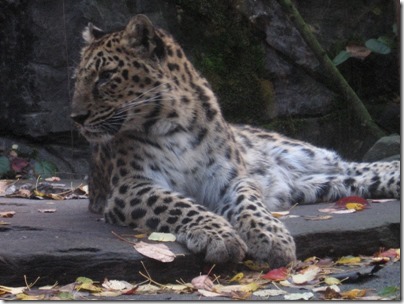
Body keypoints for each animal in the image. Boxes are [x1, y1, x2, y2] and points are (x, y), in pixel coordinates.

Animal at [70, 15, 400, 268]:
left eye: (105, 76)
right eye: (79, 79)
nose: (76, 117)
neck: (174, 123)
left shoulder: (231, 177)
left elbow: (249, 204)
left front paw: (271, 236)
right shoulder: (130, 187)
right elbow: (177, 204)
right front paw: (220, 237)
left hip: (304, 154)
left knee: (353, 164)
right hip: (316, 184)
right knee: (357, 177)